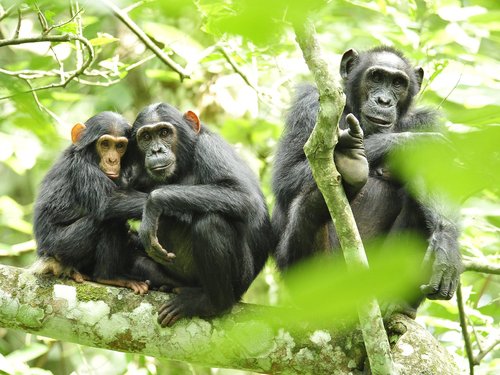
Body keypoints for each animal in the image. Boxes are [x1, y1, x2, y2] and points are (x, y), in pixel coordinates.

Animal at [31, 111, 168, 294]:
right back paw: (110, 277)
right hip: (60, 247)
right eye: (105, 144)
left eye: (120, 146)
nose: (112, 160)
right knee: (109, 219)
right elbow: (108, 201)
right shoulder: (82, 169)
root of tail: (45, 257)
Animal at [129, 102, 274, 326]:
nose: (156, 149)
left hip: (240, 281)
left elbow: (244, 196)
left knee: (210, 223)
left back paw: (210, 303)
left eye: (164, 133)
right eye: (145, 137)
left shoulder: (210, 148)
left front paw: (153, 203)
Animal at [272, 45, 462, 310]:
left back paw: (393, 303)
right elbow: (286, 175)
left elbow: (438, 178)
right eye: (376, 77)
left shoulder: (427, 121)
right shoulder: (308, 105)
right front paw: (409, 143)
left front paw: (447, 245)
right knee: (307, 208)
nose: (384, 100)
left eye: (398, 83)